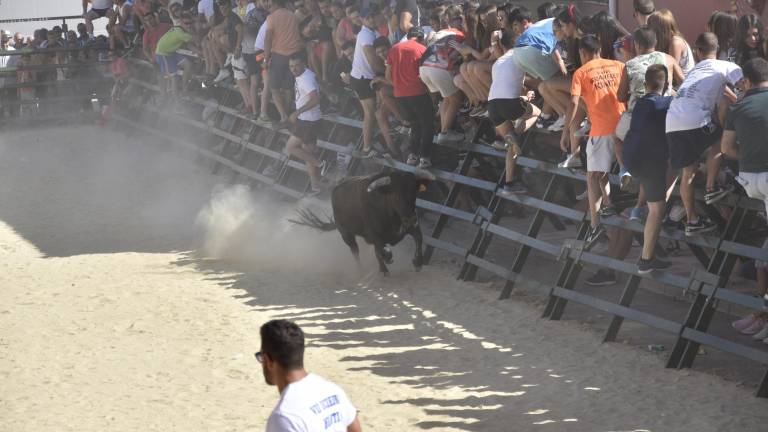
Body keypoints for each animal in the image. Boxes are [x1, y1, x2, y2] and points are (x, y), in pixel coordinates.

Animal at [290, 171, 428, 274]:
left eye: (414, 194)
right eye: (396, 195)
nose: (410, 219)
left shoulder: (412, 227)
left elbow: (419, 238)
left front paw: (418, 262)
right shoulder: (373, 235)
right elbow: (381, 248)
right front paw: (388, 258)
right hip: (346, 235)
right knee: (355, 251)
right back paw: (364, 269)